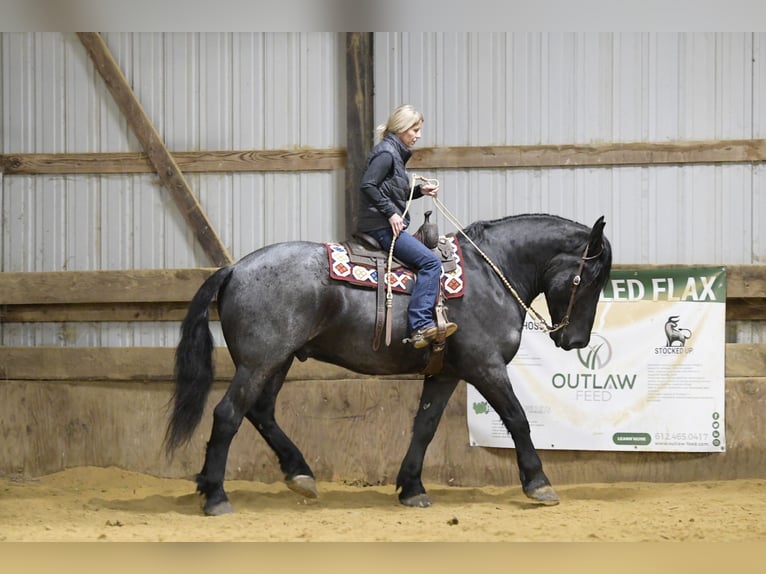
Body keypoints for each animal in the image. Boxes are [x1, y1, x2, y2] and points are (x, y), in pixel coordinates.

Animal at [165, 213, 616, 516]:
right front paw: (538, 483)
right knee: (228, 415)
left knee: (260, 412)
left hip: (278, 361)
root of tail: (235, 267)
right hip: (260, 362)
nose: (576, 341)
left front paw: (412, 487)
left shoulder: (446, 373)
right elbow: (518, 419)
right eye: (591, 278)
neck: (491, 274)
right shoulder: (485, 367)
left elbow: (425, 426)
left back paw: (300, 474)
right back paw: (216, 495)